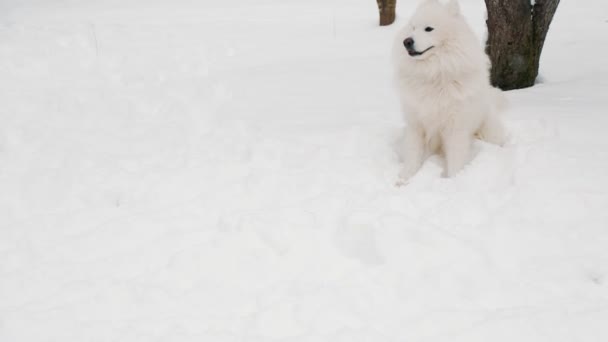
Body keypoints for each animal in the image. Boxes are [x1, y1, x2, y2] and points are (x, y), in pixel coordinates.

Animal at [392, 0, 506, 184]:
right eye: (413, 27)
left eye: (428, 29)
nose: (406, 41)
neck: (434, 72)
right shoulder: (416, 125)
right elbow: (412, 156)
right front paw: (403, 180)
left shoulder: (455, 128)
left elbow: (455, 161)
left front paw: (453, 181)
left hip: (489, 130)